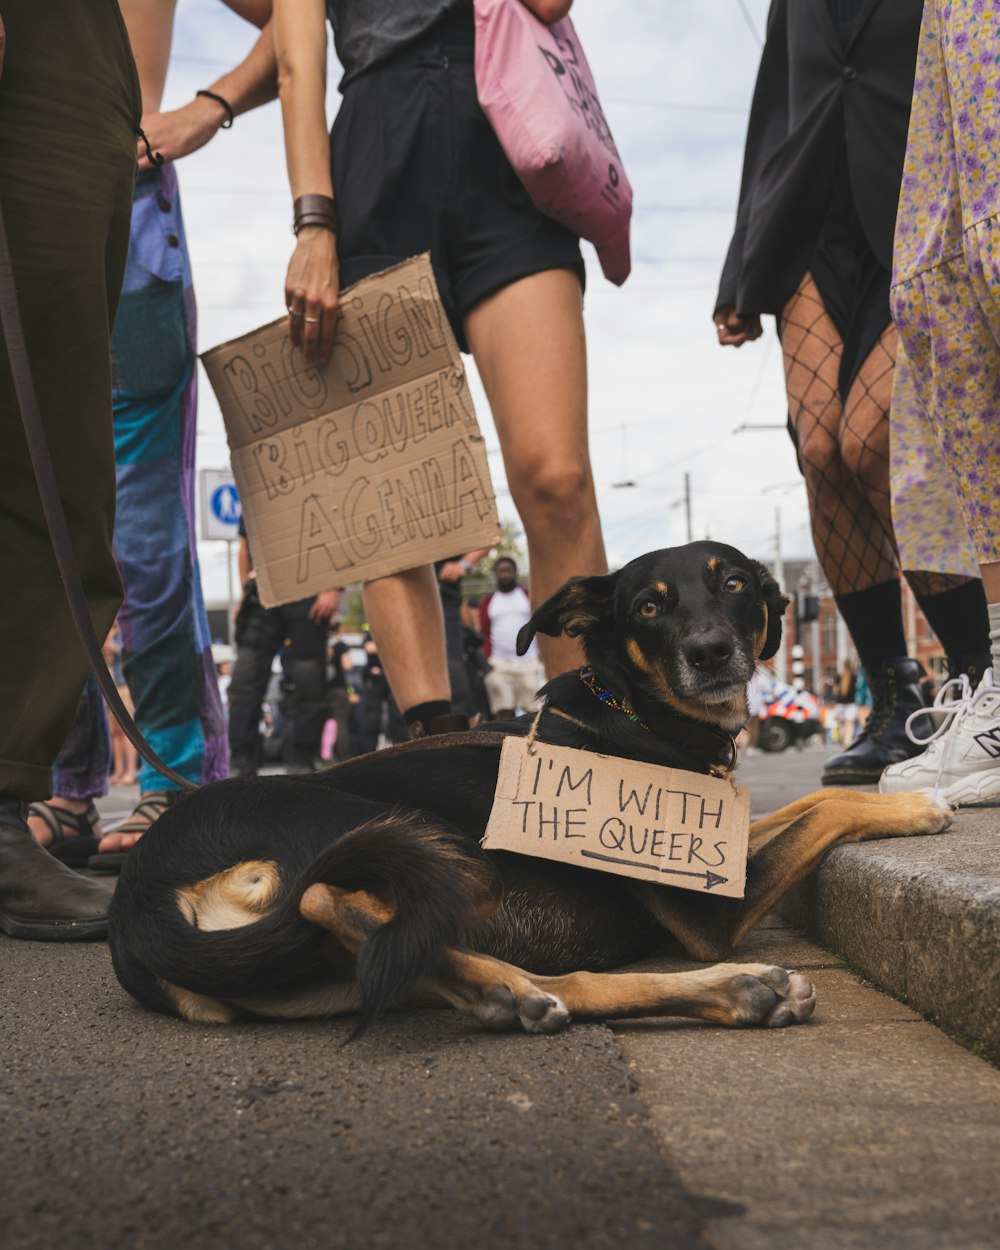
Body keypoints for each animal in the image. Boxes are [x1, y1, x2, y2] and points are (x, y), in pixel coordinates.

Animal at [109, 542, 955, 1040]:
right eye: (650, 606)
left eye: (737, 584)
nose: (712, 653)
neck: (633, 713)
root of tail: (139, 897)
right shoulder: (706, 912)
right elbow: (827, 807)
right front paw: (913, 804)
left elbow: (803, 805)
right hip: (420, 844)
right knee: (328, 895)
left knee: (505, 972)